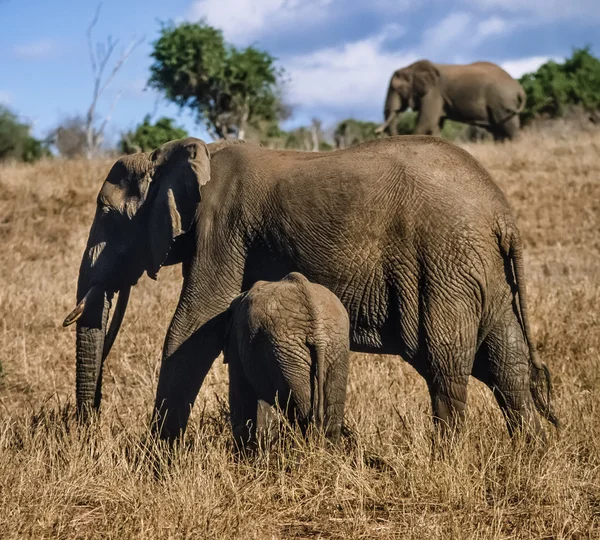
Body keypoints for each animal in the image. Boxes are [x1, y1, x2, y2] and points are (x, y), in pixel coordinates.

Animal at [223, 272, 350, 450]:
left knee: (301, 412)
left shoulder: (237, 345)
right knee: (331, 409)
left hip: (288, 351)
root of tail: (316, 326)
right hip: (332, 345)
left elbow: (243, 400)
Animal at [380, 59, 524, 141]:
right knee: (498, 131)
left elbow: (426, 121)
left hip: (503, 100)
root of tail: (519, 87)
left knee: (509, 128)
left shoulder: (434, 92)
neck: (410, 67)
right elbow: (435, 124)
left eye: (397, 88)